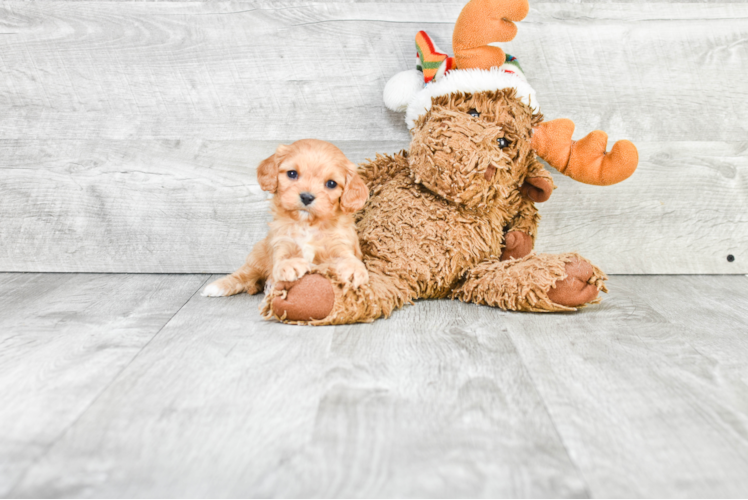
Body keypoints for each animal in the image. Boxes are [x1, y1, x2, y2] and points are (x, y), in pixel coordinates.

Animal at [203, 139, 370, 298]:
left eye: (331, 183)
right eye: (292, 174)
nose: (307, 197)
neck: (307, 225)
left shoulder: (339, 244)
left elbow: (347, 257)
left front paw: (354, 270)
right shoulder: (281, 243)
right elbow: (282, 259)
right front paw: (290, 264)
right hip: (257, 255)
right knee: (244, 274)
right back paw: (217, 286)